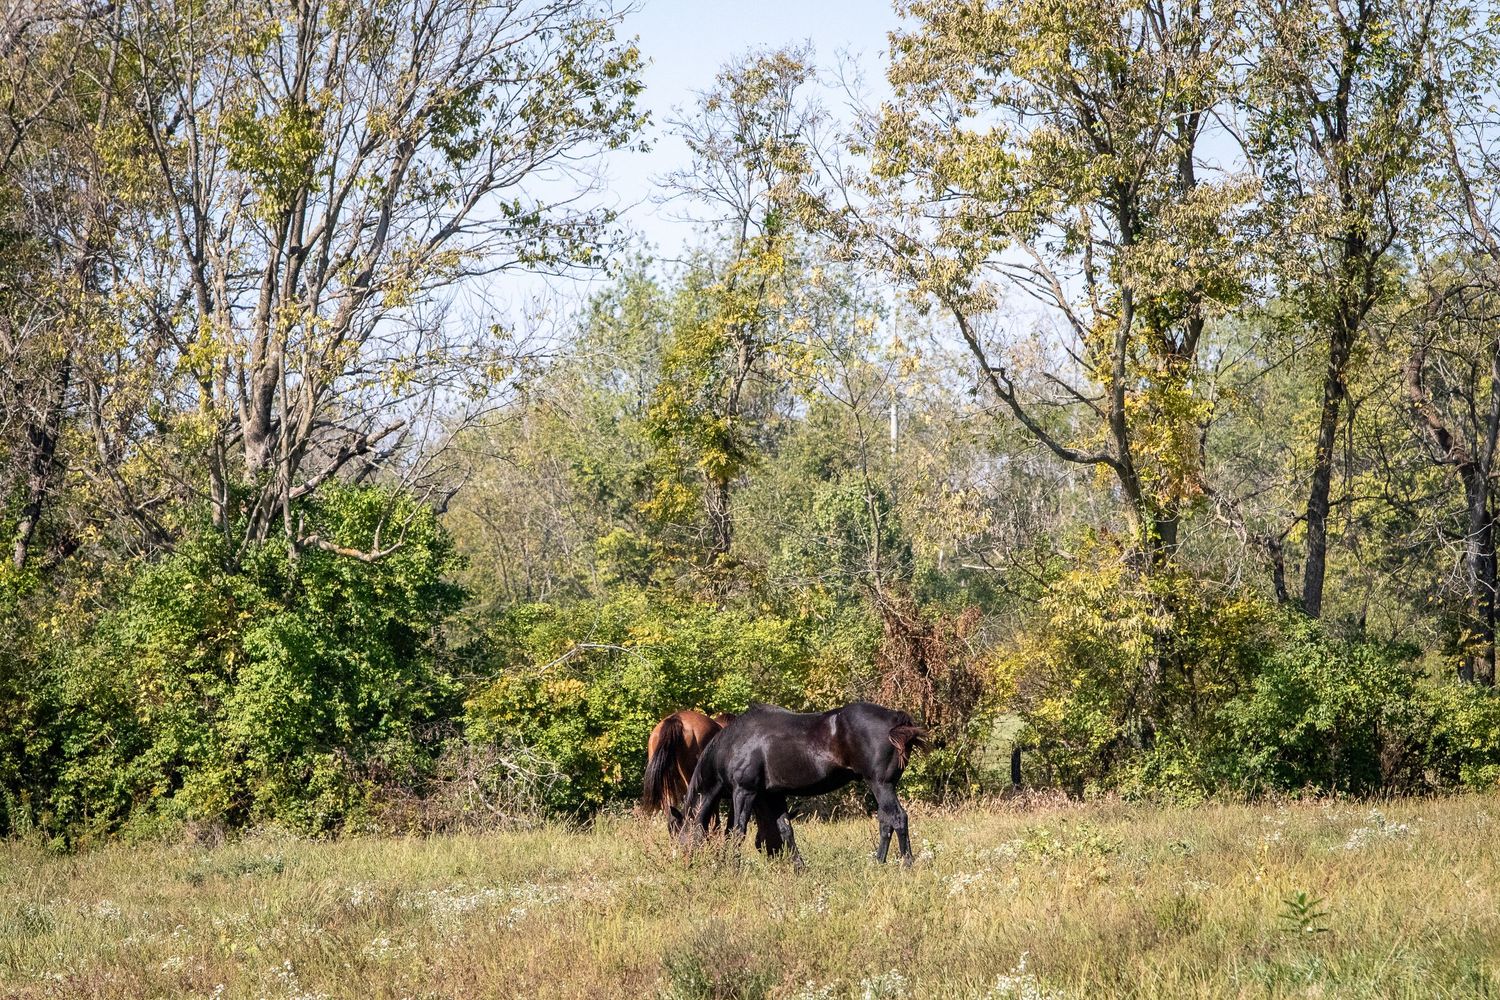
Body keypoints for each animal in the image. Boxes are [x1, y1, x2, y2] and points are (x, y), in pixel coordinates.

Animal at [679, 701, 927, 867]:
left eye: (681, 836)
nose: (685, 865)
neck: (733, 744)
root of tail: (896, 720)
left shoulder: (744, 792)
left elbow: (737, 831)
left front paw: (732, 866)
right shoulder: (773, 796)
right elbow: (786, 830)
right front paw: (799, 867)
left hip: (881, 784)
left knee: (897, 818)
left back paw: (907, 863)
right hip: (882, 787)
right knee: (886, 821)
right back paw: (878, 862)